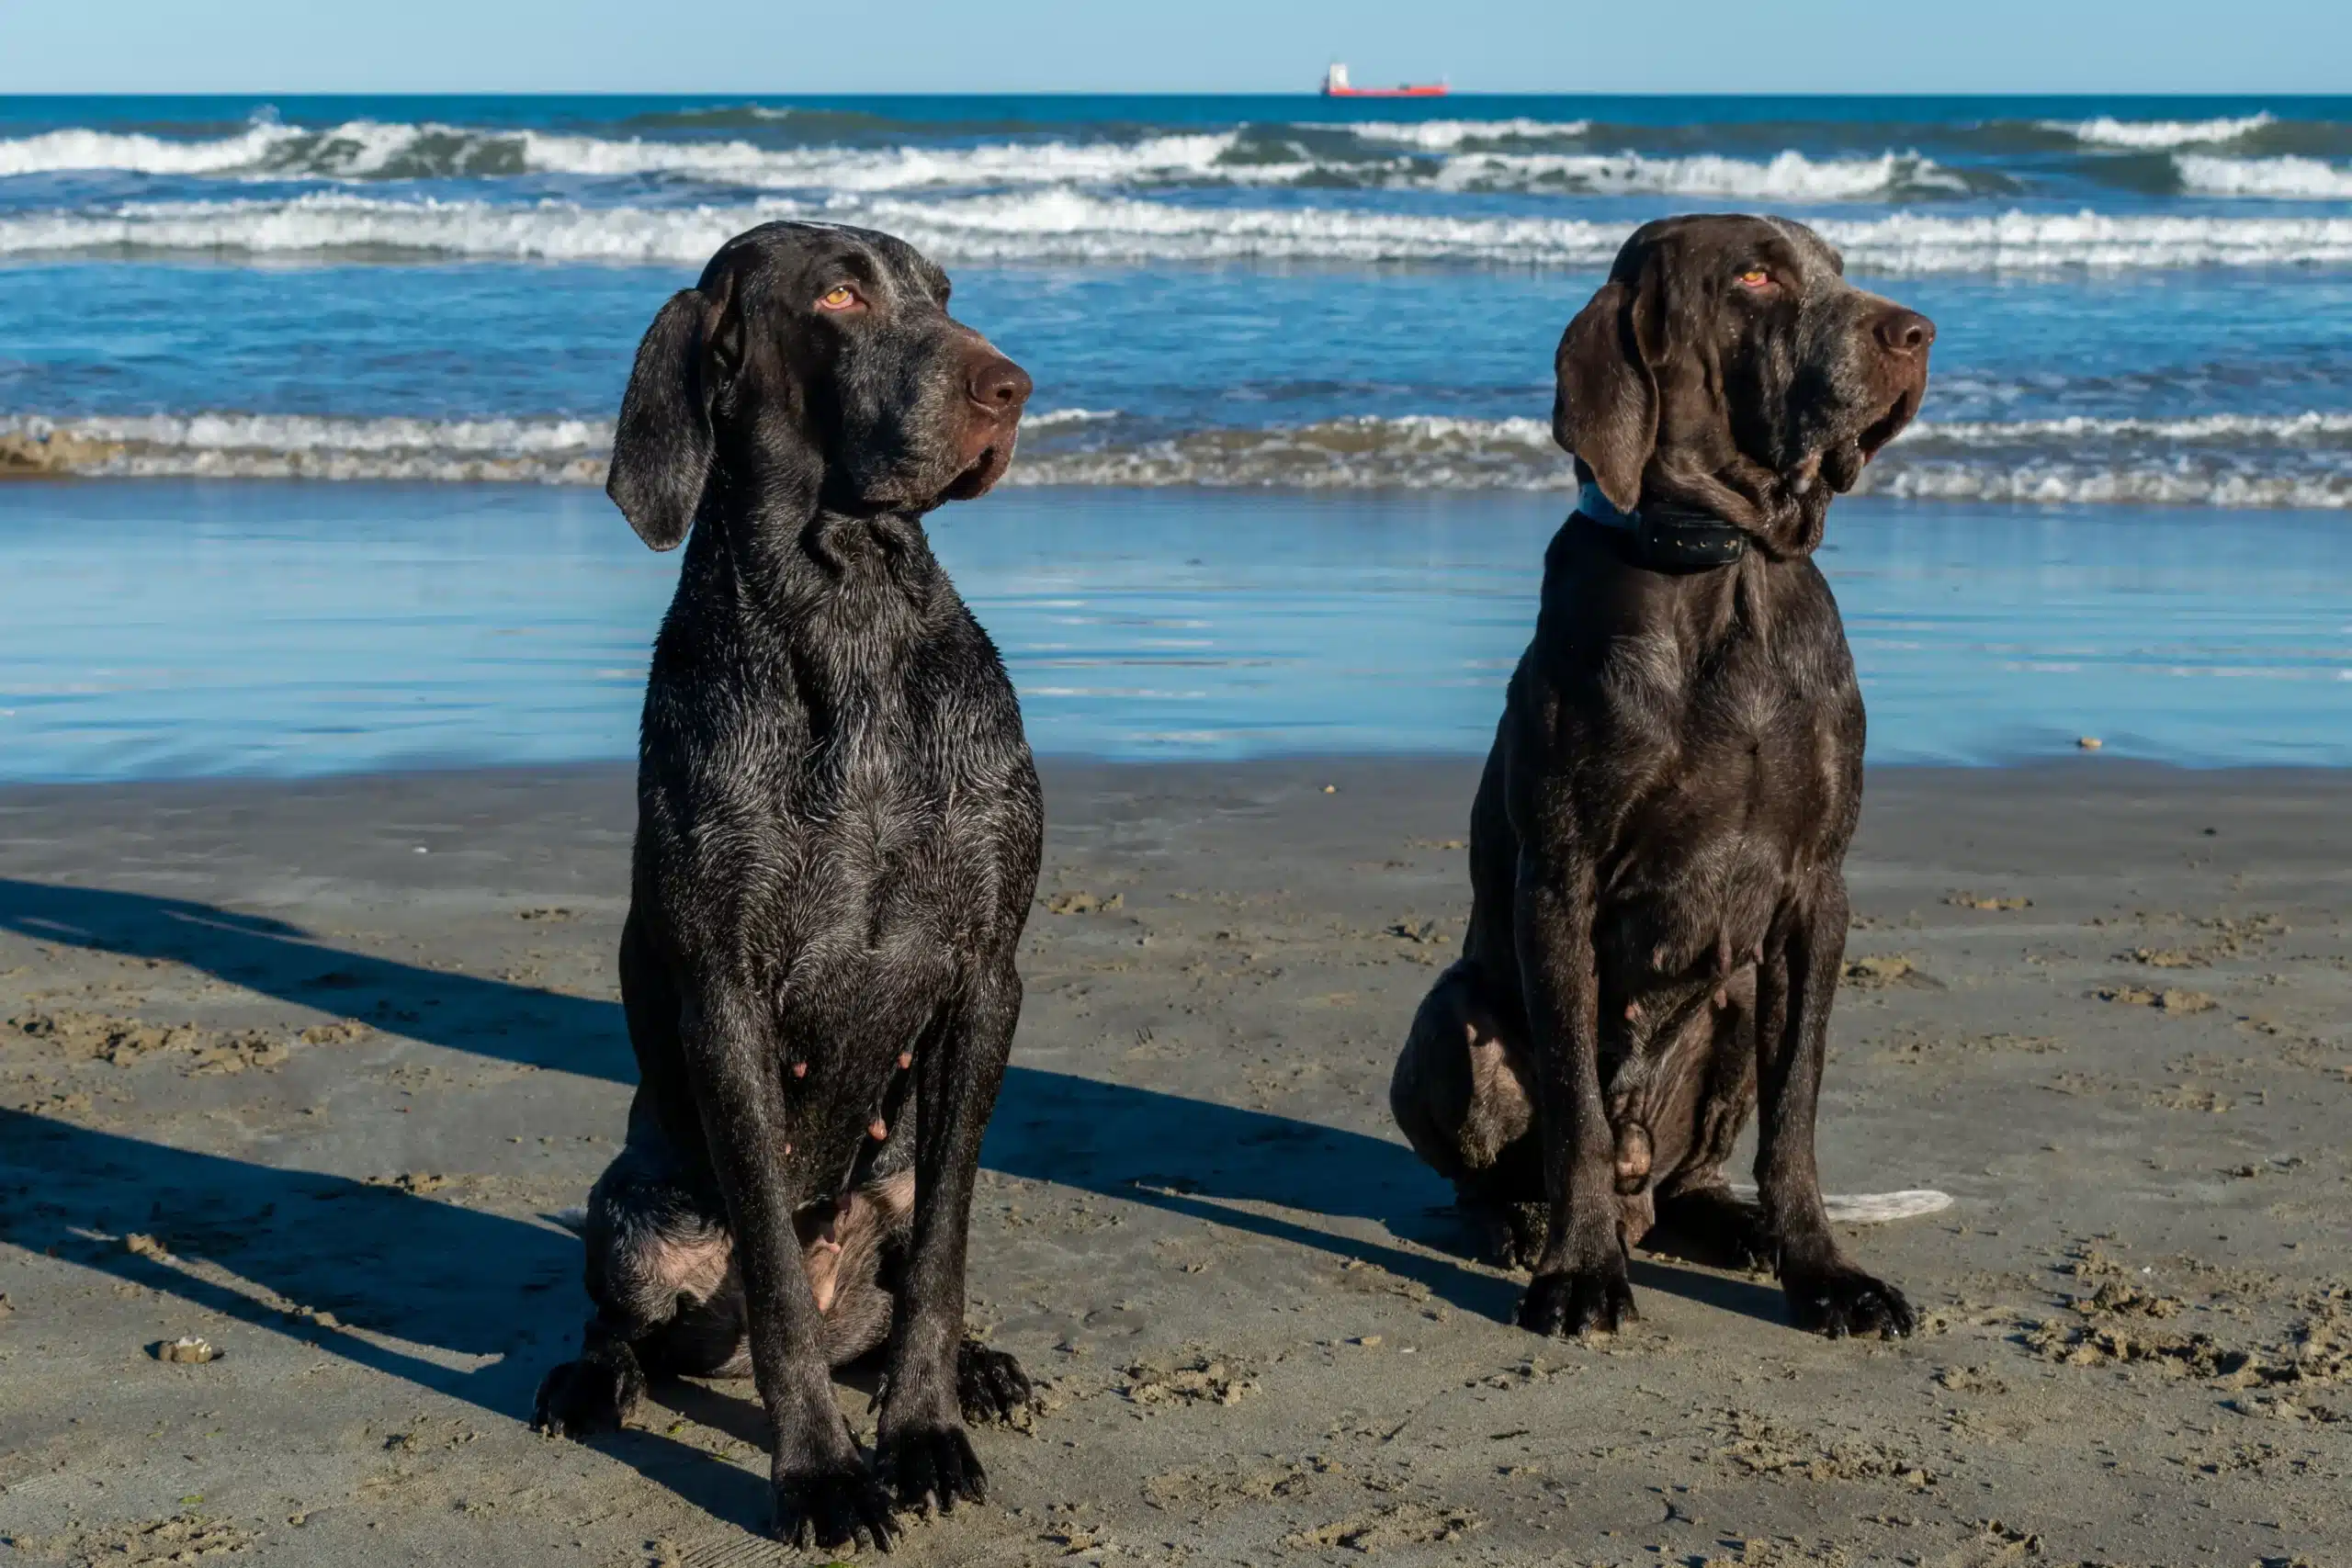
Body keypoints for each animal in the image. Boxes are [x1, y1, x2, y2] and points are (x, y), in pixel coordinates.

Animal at [540, 220, 1048, 1561]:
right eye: (835, 298)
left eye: (943, 292)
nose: (1011, 387)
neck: (850, 615)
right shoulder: (725, 999)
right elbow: (771, 1268)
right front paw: (820, 1471)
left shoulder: (988, 977)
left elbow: (943, 1259)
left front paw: (922, 1427)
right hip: (634, 1206)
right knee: (621, 1321)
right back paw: (588, 1379)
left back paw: (978, 1366)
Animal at [1383, 215, 1938, 1354]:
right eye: (1755, 275)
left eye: (1835, 264)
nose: (1916, 333)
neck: (1724, 572)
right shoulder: (1560, 882)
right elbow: (1576, 1110)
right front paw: (1577, 1271)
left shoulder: (1816, 894)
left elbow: (1795, 1110)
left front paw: (1825, 1274)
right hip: (1451, 1014)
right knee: (1500, 1163)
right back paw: (1519, 1225)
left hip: (1733, 998)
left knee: (1696, 1175)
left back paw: (1733, 1225)